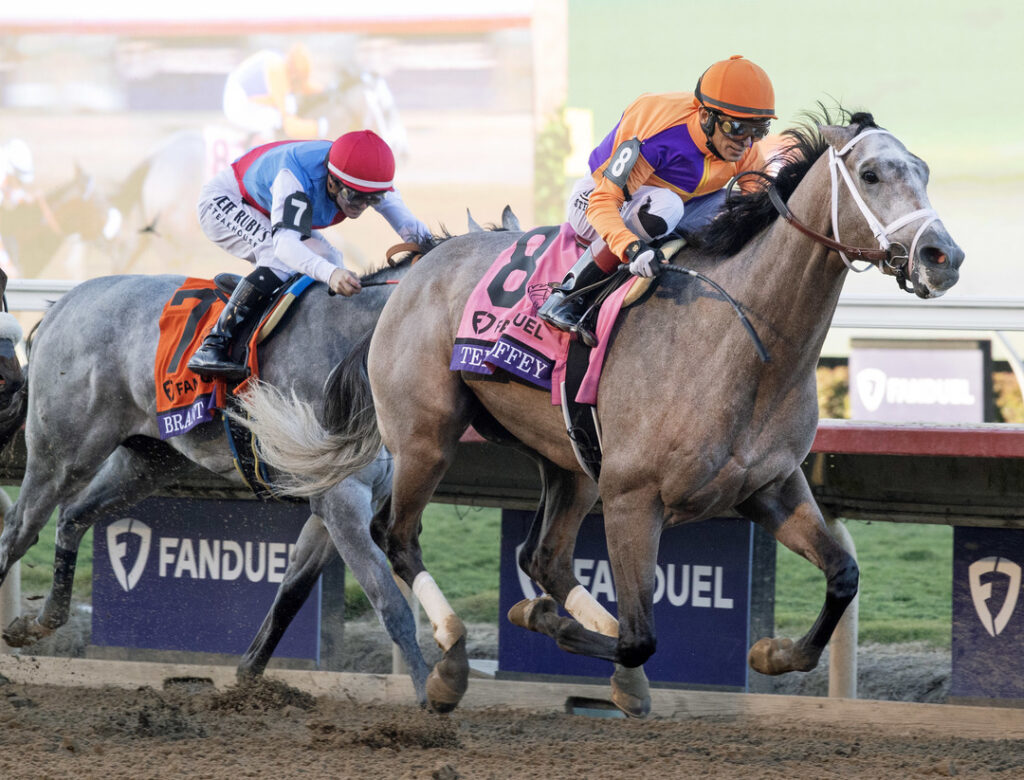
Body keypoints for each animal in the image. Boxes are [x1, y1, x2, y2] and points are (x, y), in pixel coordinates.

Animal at [0, 255, 448, 705]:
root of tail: (61, 305)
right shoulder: (340, 498)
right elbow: (389, 602)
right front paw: (428, 693)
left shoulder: (348, 504)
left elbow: (293, 589)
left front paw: (249, 679)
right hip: (64, 451)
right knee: (18, 531)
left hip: (147, 461)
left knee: (73, 516)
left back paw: (39, 621)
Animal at [239, 110, 964, 716]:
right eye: (871, 174)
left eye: (925, 171)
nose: (944, 257)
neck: (747, 340)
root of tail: (412, 269)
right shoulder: (634, 497)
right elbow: (642, 634)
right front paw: (545, 626)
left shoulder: (770, 486)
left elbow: (843, 574)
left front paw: (772, 652)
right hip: (426, 437)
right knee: (396, 535)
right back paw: (449, 661)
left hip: (569, 461)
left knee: (543, 558)